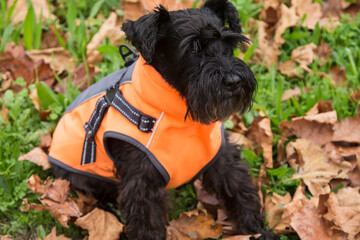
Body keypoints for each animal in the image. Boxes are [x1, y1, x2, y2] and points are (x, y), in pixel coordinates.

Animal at [48, 0, 278, 239]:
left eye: (228, 45)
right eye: (192, 48)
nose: (233, 80)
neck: (180, 116)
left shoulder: (221, 157)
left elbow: (240, 191)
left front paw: (257, 230)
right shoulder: (142, 183)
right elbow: (147, 223)